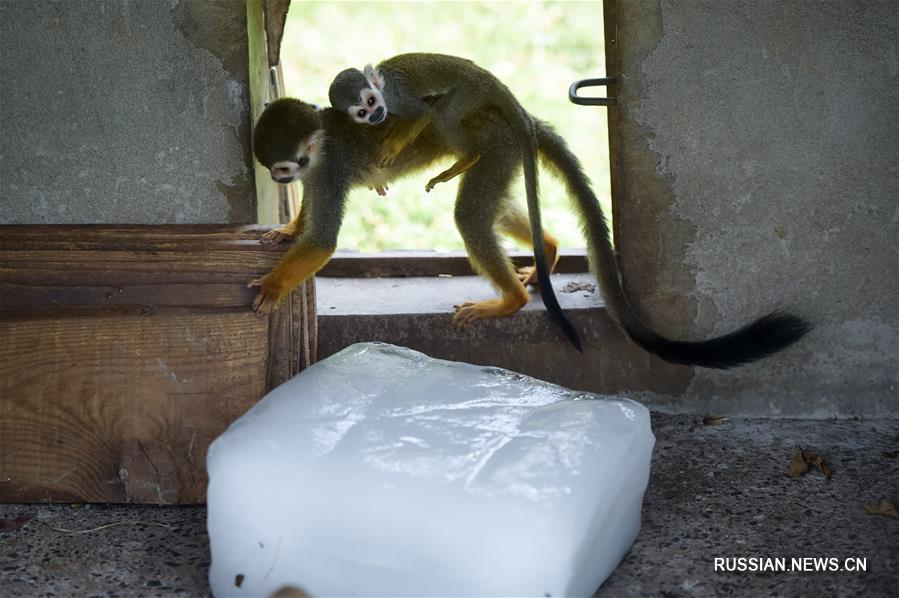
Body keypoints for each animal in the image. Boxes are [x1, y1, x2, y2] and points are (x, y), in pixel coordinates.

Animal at [251, 97, 808, 370]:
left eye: (284, 166)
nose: (279, 181)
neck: (319, 150)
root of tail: (512, 117)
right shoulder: (317, 175)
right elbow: (310, 224)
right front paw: (287, 229)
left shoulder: (328, 170)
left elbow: (324, 240)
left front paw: (274, 286)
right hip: (501, 152)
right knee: (489, 211)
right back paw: (552, 251)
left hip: (494, 146)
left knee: (471, 216)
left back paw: (511, 302)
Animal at [326, 55, 580, 352]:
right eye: (361, 112)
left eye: (370, 100)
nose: (376, 114)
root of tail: (490, 80)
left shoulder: (397, 99)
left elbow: (421, 113)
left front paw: (391, 147)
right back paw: (548, 248)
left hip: (469, 97)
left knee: (441, 117)